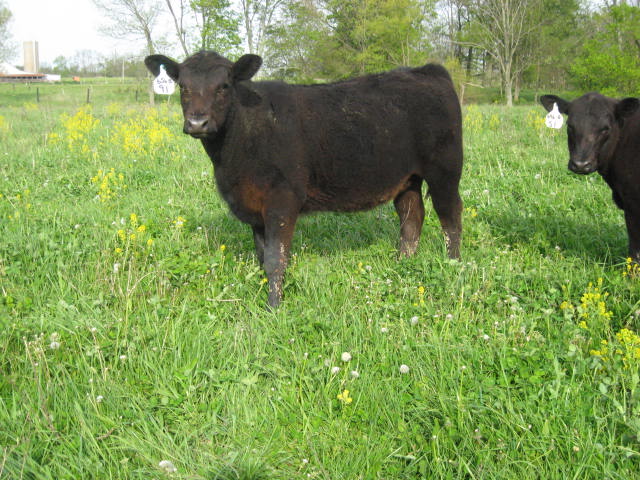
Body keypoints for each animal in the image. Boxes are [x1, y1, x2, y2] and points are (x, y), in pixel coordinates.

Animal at [147, 51, 462, 308]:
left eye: (224, 86)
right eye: (183, 86)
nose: (197, 122)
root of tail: (427, 70)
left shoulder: (283, 199)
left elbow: (276, 258)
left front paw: (274, 307)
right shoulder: (254, 206)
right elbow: (262, 256)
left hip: (445, 169)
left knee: (450, 216)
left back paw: (453, 264)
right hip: (406, 177)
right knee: (411, 216)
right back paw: (403, 263)